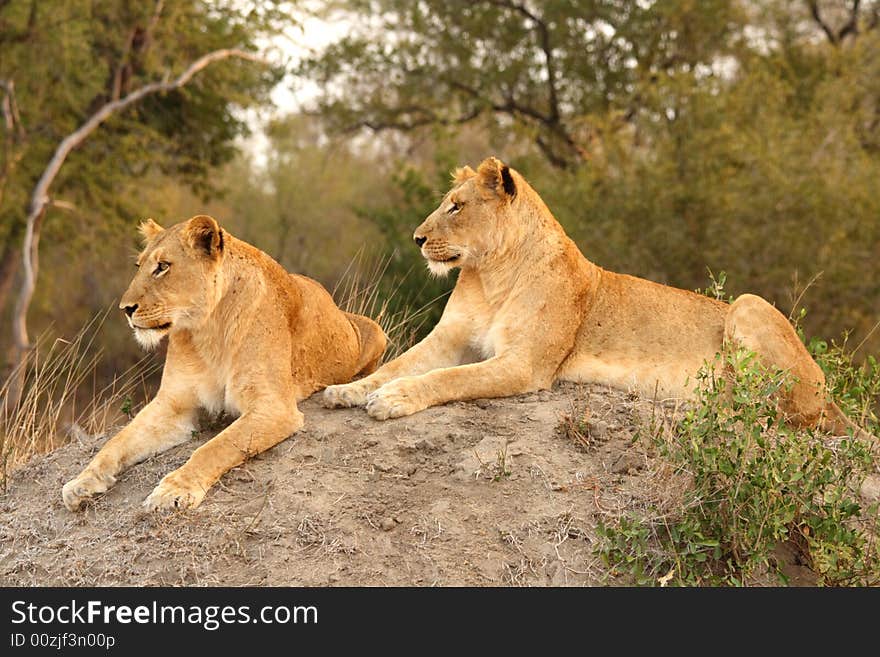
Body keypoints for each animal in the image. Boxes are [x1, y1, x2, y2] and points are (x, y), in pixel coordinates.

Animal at [63, 215, 386, 512]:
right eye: (138, 266)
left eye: (163, 266)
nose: (126, 309)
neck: (207, 331)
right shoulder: (173, 406)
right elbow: (118, 441)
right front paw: (82, 481)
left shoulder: (274, 408)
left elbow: (215, 447)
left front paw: (173, 490)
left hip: (376, 332)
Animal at [324, 155, 872, 440]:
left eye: (456, 207)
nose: (417, 239)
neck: (491, 273)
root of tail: (830, 394)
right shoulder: (449, 339)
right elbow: (402, 364)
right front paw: (350, 390)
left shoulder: (526, 365)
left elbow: (451, 378)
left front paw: (393, 399)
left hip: (750, 305)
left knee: (782, 413)